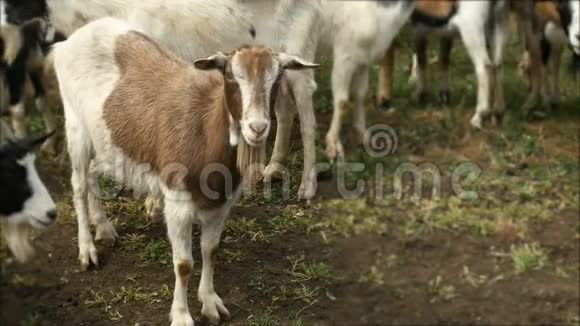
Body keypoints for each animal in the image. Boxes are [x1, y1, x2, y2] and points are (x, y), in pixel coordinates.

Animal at [11, 0, 324, 201]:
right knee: (284, 111)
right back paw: (272, 169)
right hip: (280, 67)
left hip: (300, 56)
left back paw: (306, 187)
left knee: (308, 120)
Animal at [53, 18, 318, 326]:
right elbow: (183, 264)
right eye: (230, 76)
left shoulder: (221, 205)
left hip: (110, 142)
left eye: (277, 78)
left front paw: (211, 302)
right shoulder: (177, 203)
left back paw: (105, 228)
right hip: (75, 124)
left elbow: (210, 251)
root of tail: (76, 37)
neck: (205, 128)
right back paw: (87, 250)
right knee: (79, 183)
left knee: (94, 172)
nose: (257, 127)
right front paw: (181, 315)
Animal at [320, 0, 414, 161]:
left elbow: (361, 95)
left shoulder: (362, 61)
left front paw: (362, 136)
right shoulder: (344, 56)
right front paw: (333, 146)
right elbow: (342, 102)